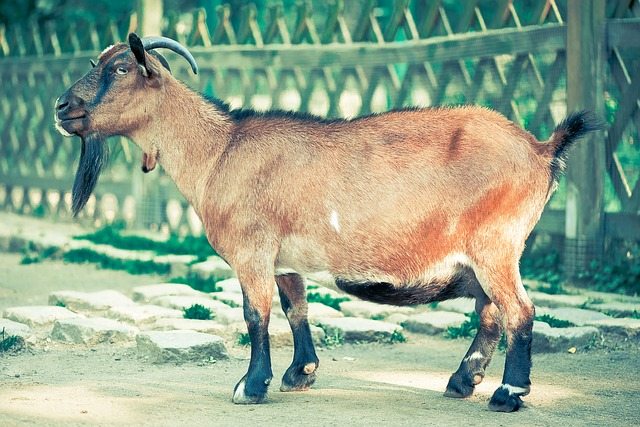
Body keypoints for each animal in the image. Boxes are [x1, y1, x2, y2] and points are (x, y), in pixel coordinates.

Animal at [55, 33, 600, 412]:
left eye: (120, 67)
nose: (62, 107)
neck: (219, 151)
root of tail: (541, 149)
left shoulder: (252, 251)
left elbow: (256, 314)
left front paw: (250, 386)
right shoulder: (284, 258)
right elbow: (296, 308)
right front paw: (300, 374)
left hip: (496, 244)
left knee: (519, 312)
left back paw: (508, 393)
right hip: (487, 252)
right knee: (490, 312)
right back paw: (461, 382)